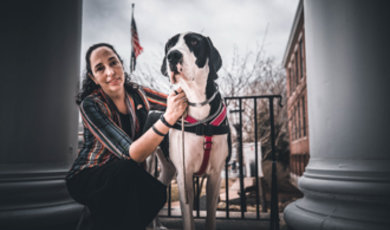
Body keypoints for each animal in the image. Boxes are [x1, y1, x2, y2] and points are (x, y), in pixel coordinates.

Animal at [161, 32, 229, 230]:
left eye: (194, 41)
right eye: (170, 45)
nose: (172, 56)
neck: (198, 100)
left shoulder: (216, 175)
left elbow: (211, 216)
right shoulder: (184, 175)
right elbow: (189, 219)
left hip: (167, 170)